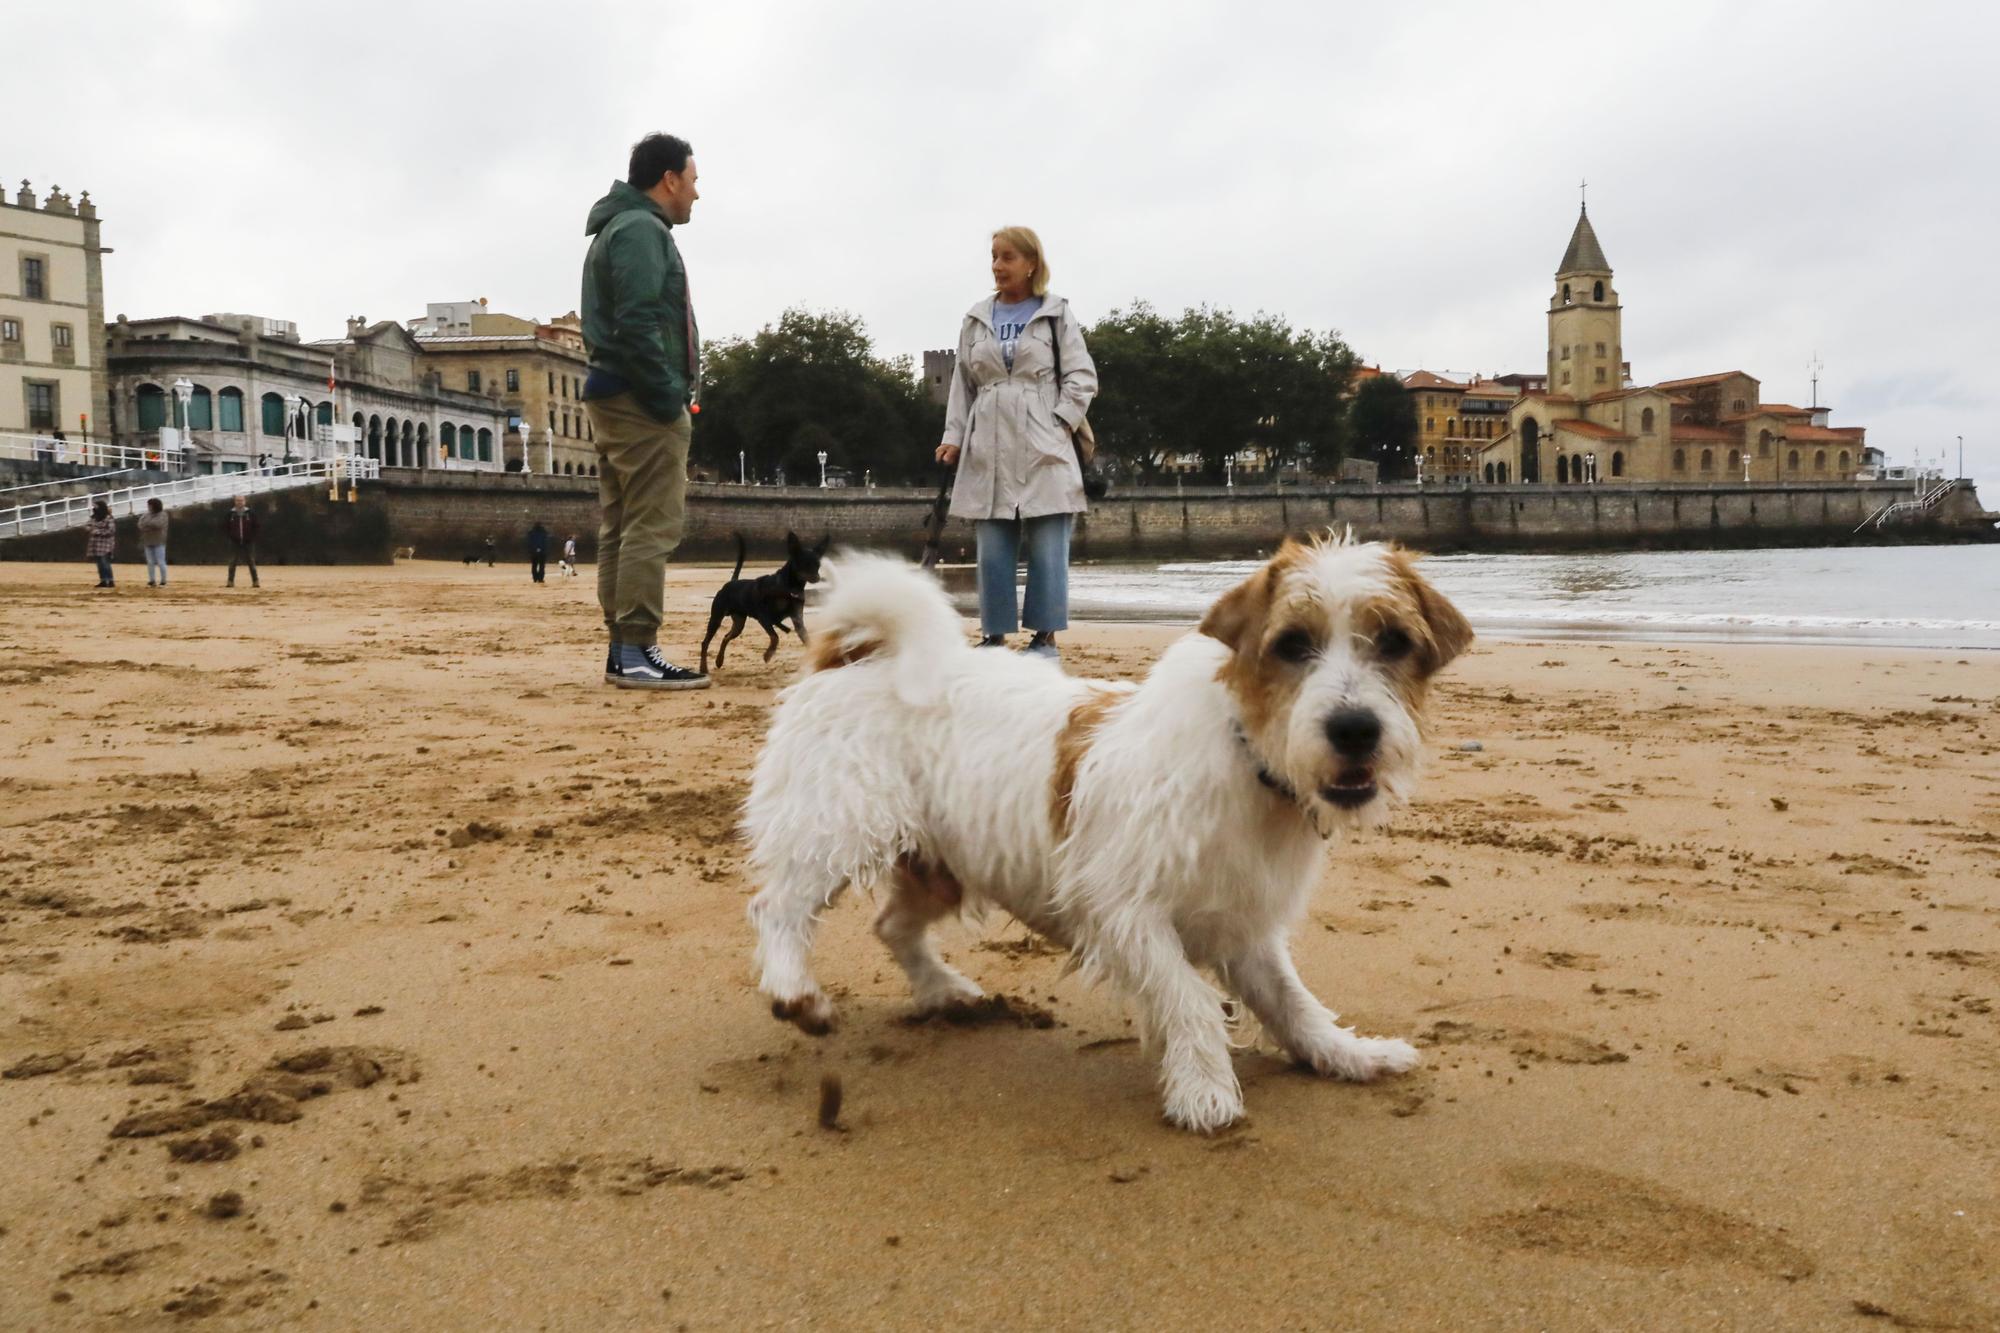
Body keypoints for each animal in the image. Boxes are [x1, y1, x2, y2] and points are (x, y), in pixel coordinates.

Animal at [704, 528, 828, 676]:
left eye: (818, 565)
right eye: (805, 563)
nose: (817, 577)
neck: (789, 587)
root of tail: (732, 582)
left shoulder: (797, 621)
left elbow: (806, 640)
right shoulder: (764, 617)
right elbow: (775, 637)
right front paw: (767, 655)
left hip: (739, 623)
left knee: (726, 636)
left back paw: (719, 660)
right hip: (716, 618)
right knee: (705, 642)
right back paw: (703, 668)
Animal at [748, 528, 1472, 1120]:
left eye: (1395, 642)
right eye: (1292, 644)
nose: (1355, 729)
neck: (1245, 755)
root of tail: (856, 655)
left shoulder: (1245, 925)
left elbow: (1292, 1000)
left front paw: (1345, 1054)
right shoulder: (1121, 910)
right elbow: (1188, 997)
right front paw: (1205, 1089)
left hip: (940, 862)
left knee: (893, 924)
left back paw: (944, 990)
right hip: (834, 826)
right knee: (779, 907)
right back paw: (794, 990)